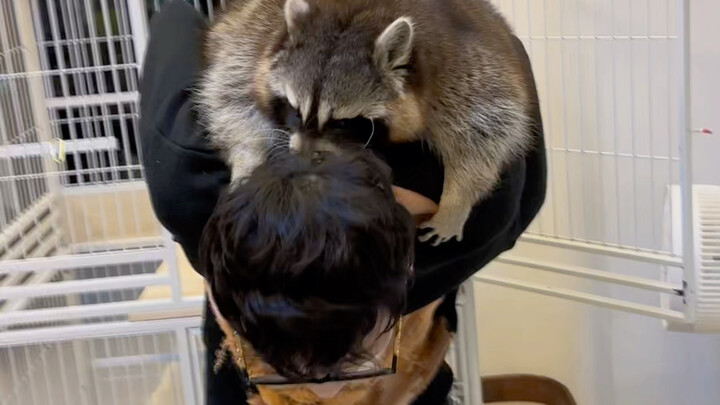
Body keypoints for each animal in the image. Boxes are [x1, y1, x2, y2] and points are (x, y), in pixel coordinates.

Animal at [198, 0, 533, 245]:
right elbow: (230, 95)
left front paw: (456, 200)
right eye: (293, 109)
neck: (358, 14)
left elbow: (488, 124)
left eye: (342, 123)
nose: (302, 159)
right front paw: (248, 158)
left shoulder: (458, 66)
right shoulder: (256, 43)